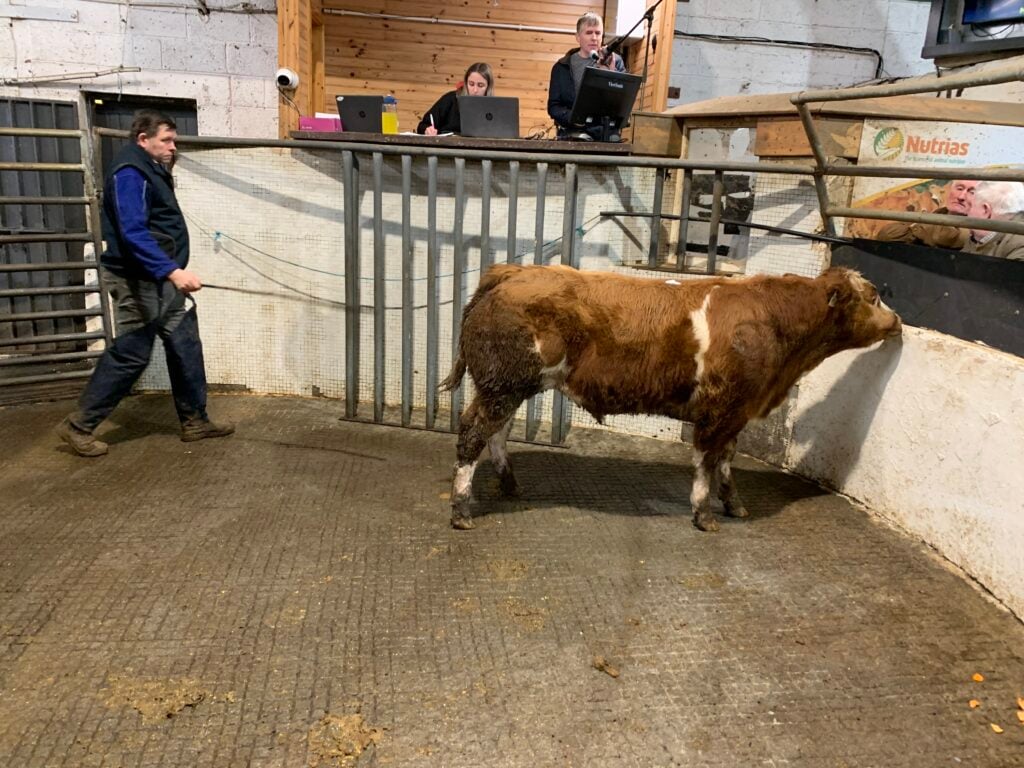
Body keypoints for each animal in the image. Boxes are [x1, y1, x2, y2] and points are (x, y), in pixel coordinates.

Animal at [440, 264, 901, 532]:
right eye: (874, 295)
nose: (897, 320)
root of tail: (510, 272)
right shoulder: (720, 411)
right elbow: (706, 462)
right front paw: (704, 514)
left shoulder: (737, 411)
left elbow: (726, 461)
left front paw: (735, 505)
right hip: (504, 385)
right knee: (472, 435)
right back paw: (461, 511)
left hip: (504, 387)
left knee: (495, 434)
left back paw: (509, 485)